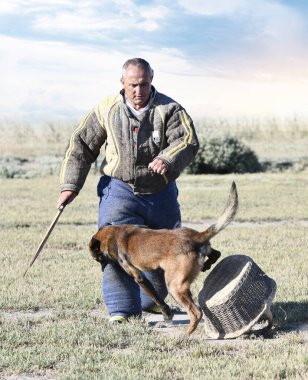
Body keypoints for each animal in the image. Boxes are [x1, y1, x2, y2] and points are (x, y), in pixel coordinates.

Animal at [89, 181, 238, 332]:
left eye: (98, 259)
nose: (102, 269)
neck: (114, 234)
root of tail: (196, 236)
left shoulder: (139, 277)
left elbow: (157, 298)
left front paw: (167, 315)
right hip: (193, 267)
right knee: (216, 254)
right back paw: (206, 265)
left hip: (174, 286)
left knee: (196, 313)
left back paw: (186, 333)